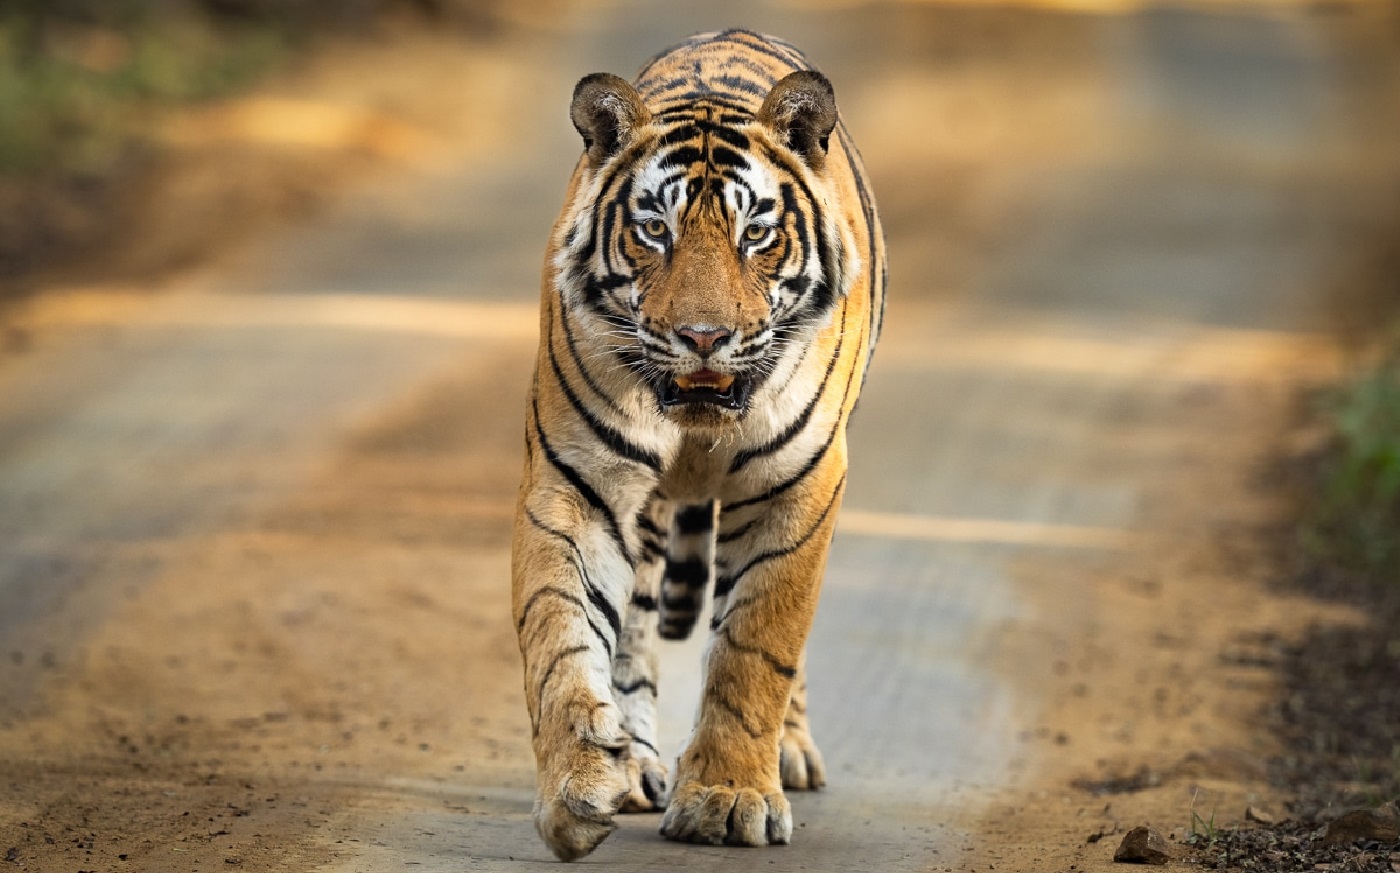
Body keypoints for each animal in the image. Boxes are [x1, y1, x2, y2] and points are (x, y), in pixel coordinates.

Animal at [511, 28, 885, 860]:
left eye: (756, 234)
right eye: (656, 229)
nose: (704, 337)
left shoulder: (796, 486)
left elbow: (757, 646)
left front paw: (728, 798)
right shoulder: (578, 483)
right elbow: (559, 633)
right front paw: (579, 781)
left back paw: (788, 752)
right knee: (634, 632)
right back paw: (636, 763)